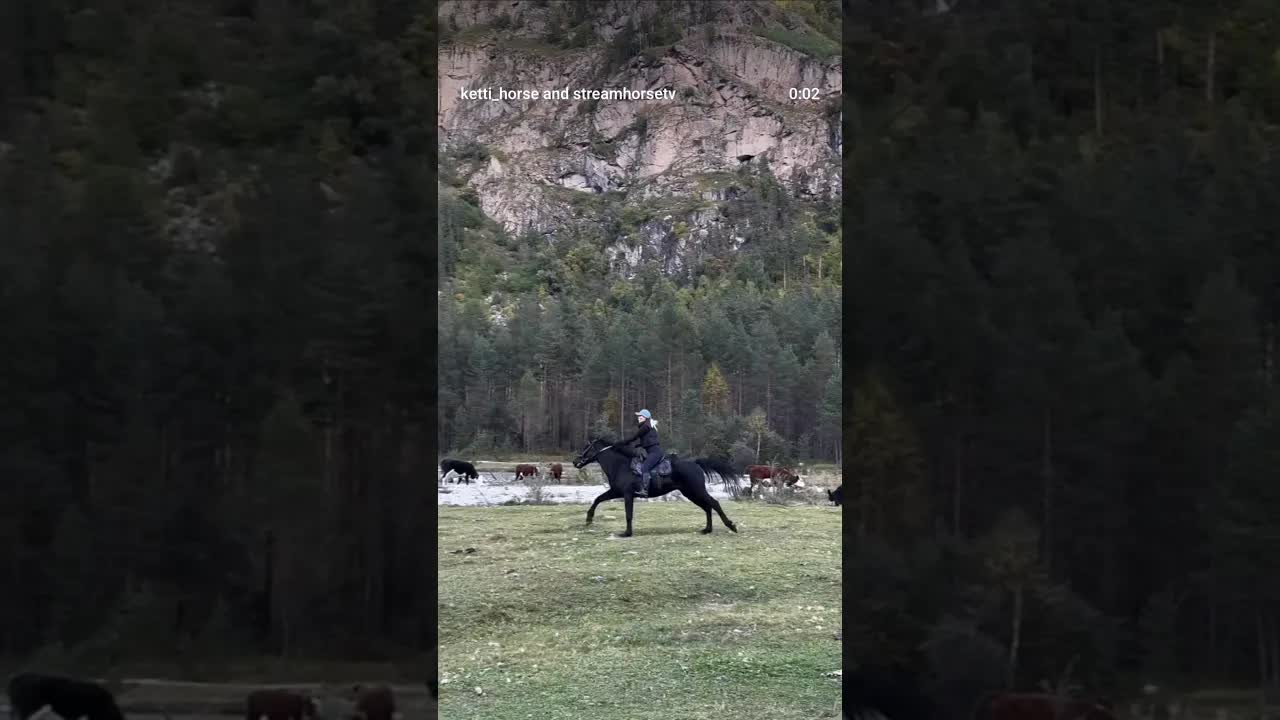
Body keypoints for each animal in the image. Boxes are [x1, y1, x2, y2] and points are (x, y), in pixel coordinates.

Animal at [572, 437, 739, 537]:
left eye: (586, 447)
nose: (575, 461)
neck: (620, 465)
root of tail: (695, 464)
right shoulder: (615, 492)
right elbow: (597, 499)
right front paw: (588, 519)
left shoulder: (627, 494)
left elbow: (628, 514)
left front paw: (627, 533)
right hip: (690, 493)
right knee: (707, 507)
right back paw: (707, 529)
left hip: (697, 491)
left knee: (714, 503)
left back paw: (731, 526)